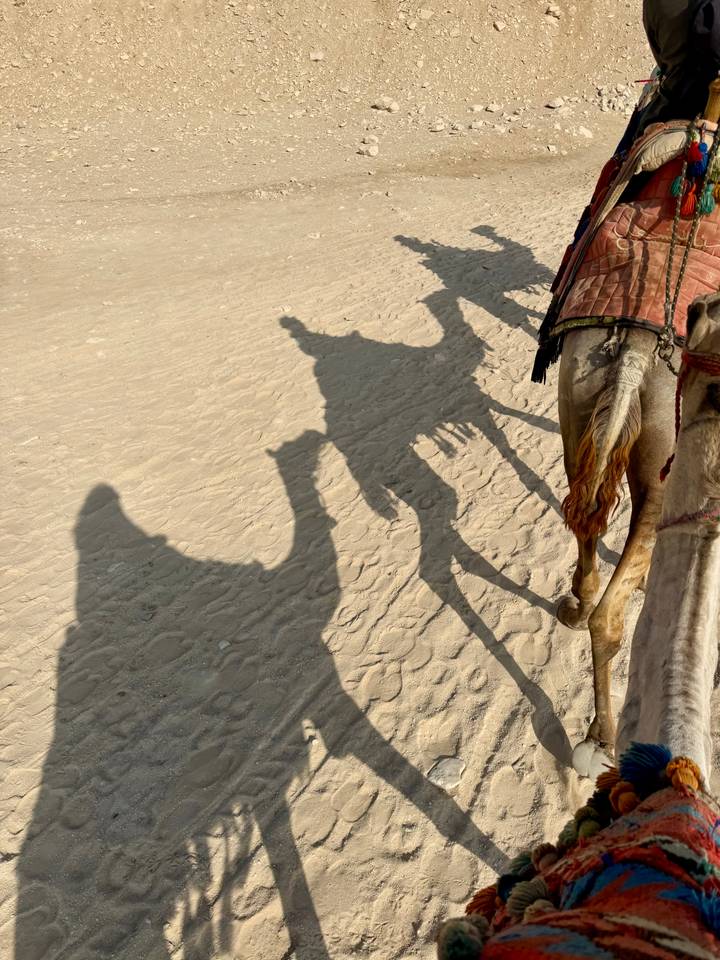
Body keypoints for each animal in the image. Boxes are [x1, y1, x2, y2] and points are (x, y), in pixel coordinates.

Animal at [434, 292, 720, 957]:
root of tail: (636, 354)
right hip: (651, 456)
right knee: (614, 594)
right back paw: (598, 734)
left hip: (577, 404)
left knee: (584, 521)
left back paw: (572, 609)